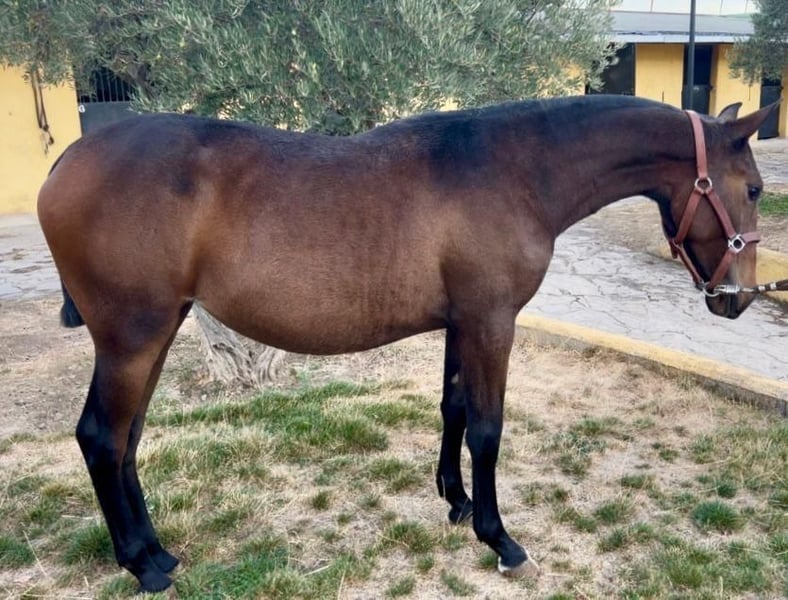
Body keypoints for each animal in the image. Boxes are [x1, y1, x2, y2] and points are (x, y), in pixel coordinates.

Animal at [37, 94, 776, 592]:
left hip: (155, 334)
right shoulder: (491, 321)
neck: (515, 169)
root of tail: (68, 159)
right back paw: (142, 566)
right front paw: (499, 538)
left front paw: (457, 501)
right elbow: (487, 429)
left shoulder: (462, 322)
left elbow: (453, 410)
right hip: (132, 339)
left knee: (127, 441)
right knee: (102, 437)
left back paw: (155, 552)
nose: (737, 297)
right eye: (755, 187)